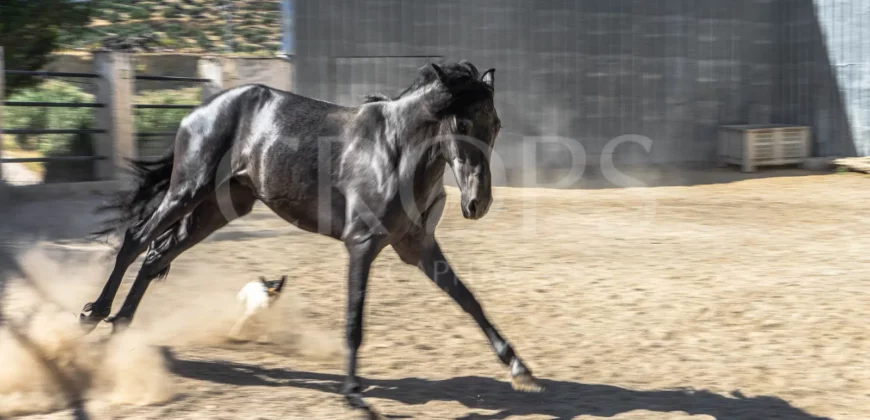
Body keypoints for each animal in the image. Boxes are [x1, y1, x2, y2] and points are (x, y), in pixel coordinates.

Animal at [82, 60, 544, 416]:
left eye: (495, 124)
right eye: (461, 123)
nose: (477, 204)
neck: (394, 153)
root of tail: (201, 110)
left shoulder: (416, 246)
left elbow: (468, 299)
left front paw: (520, 369)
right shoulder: (362, 244)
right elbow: (354, 321)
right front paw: (354, 395)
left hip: (218, 209)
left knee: (156, 256)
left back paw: (121, 328)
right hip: (188, 190)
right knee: (136, 240)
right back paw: (94, 314)